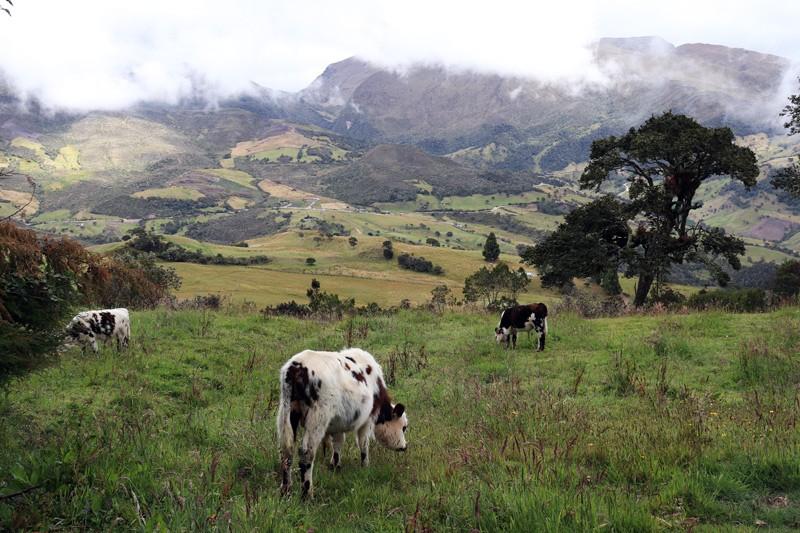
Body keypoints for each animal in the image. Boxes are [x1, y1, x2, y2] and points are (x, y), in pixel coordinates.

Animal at [278, 348, 410, 496]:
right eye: (404, 427)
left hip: (287, 414)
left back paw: (286, 489)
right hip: (317, 419)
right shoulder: (367, 420)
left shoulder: (337, 424)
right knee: (306, 454)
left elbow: (338, 443)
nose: (404, 447)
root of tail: (296, 367)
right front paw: (365, 466)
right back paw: (307, 493)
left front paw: (335, 465)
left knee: (286, 451)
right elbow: (363, 443)